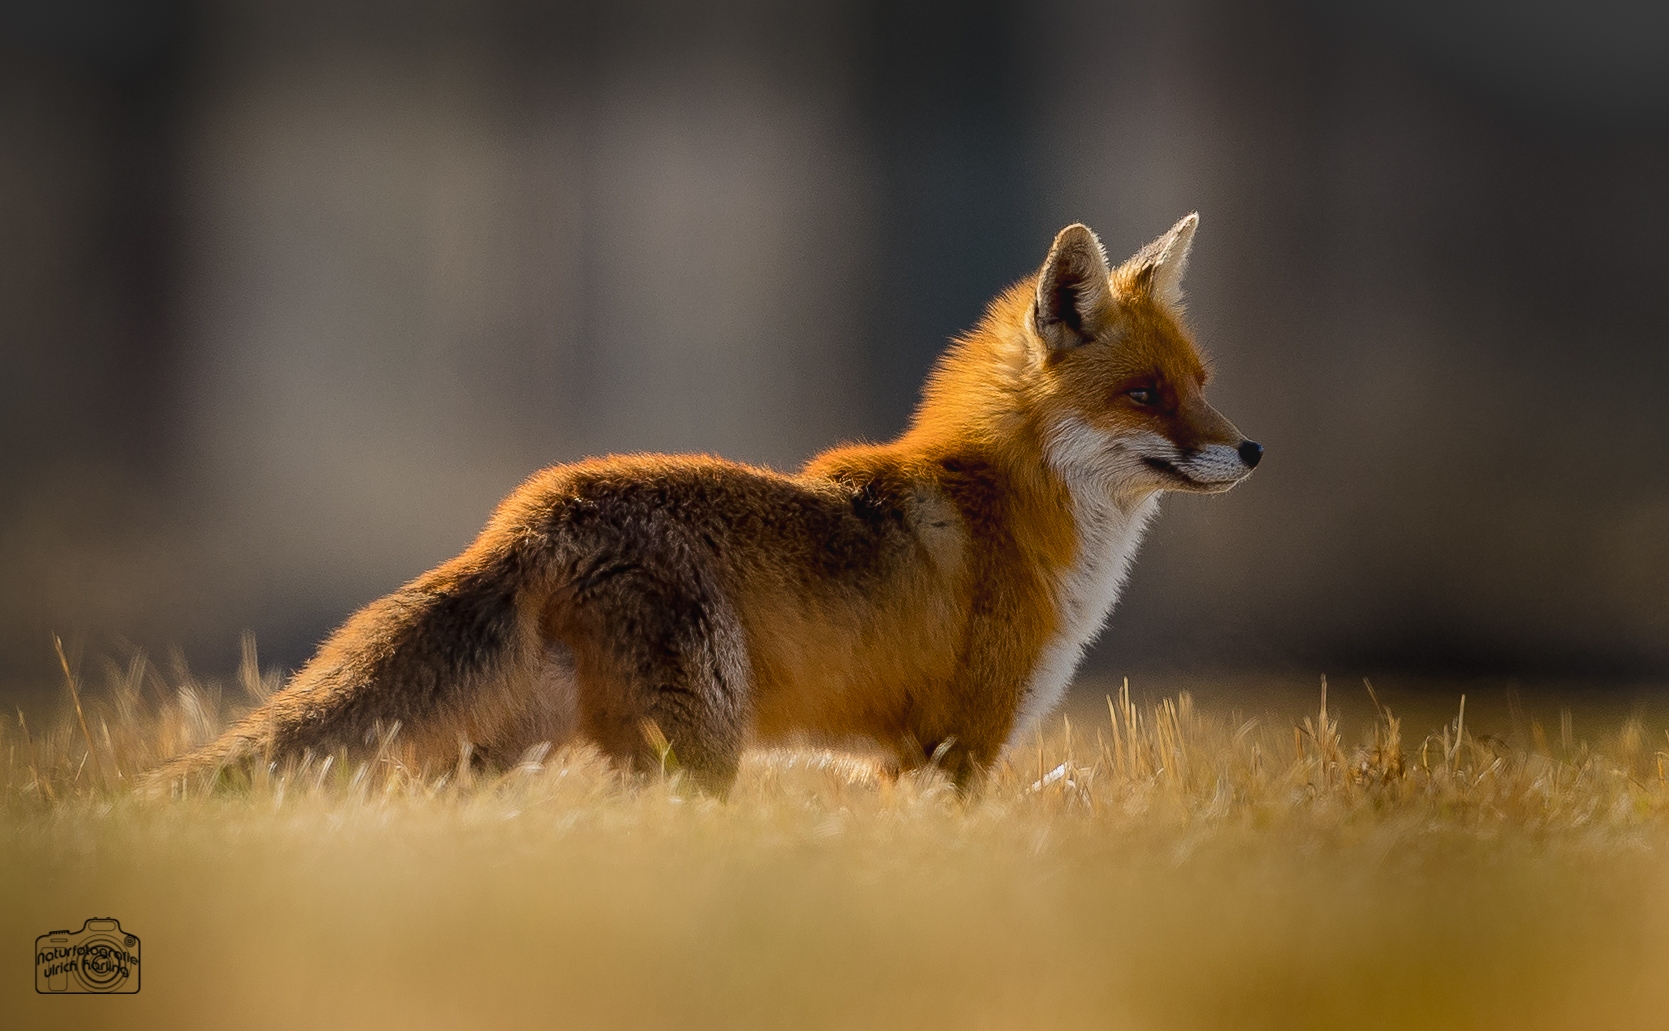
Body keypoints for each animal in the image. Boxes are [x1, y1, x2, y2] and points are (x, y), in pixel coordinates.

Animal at [153, 212, 1255, 790]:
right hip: (694, 753)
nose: (1249, 448)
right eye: (1145, 394)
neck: (1018, 517)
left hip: (503, 756)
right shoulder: (952, 751)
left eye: (1200, 382)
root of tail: (534, 508)